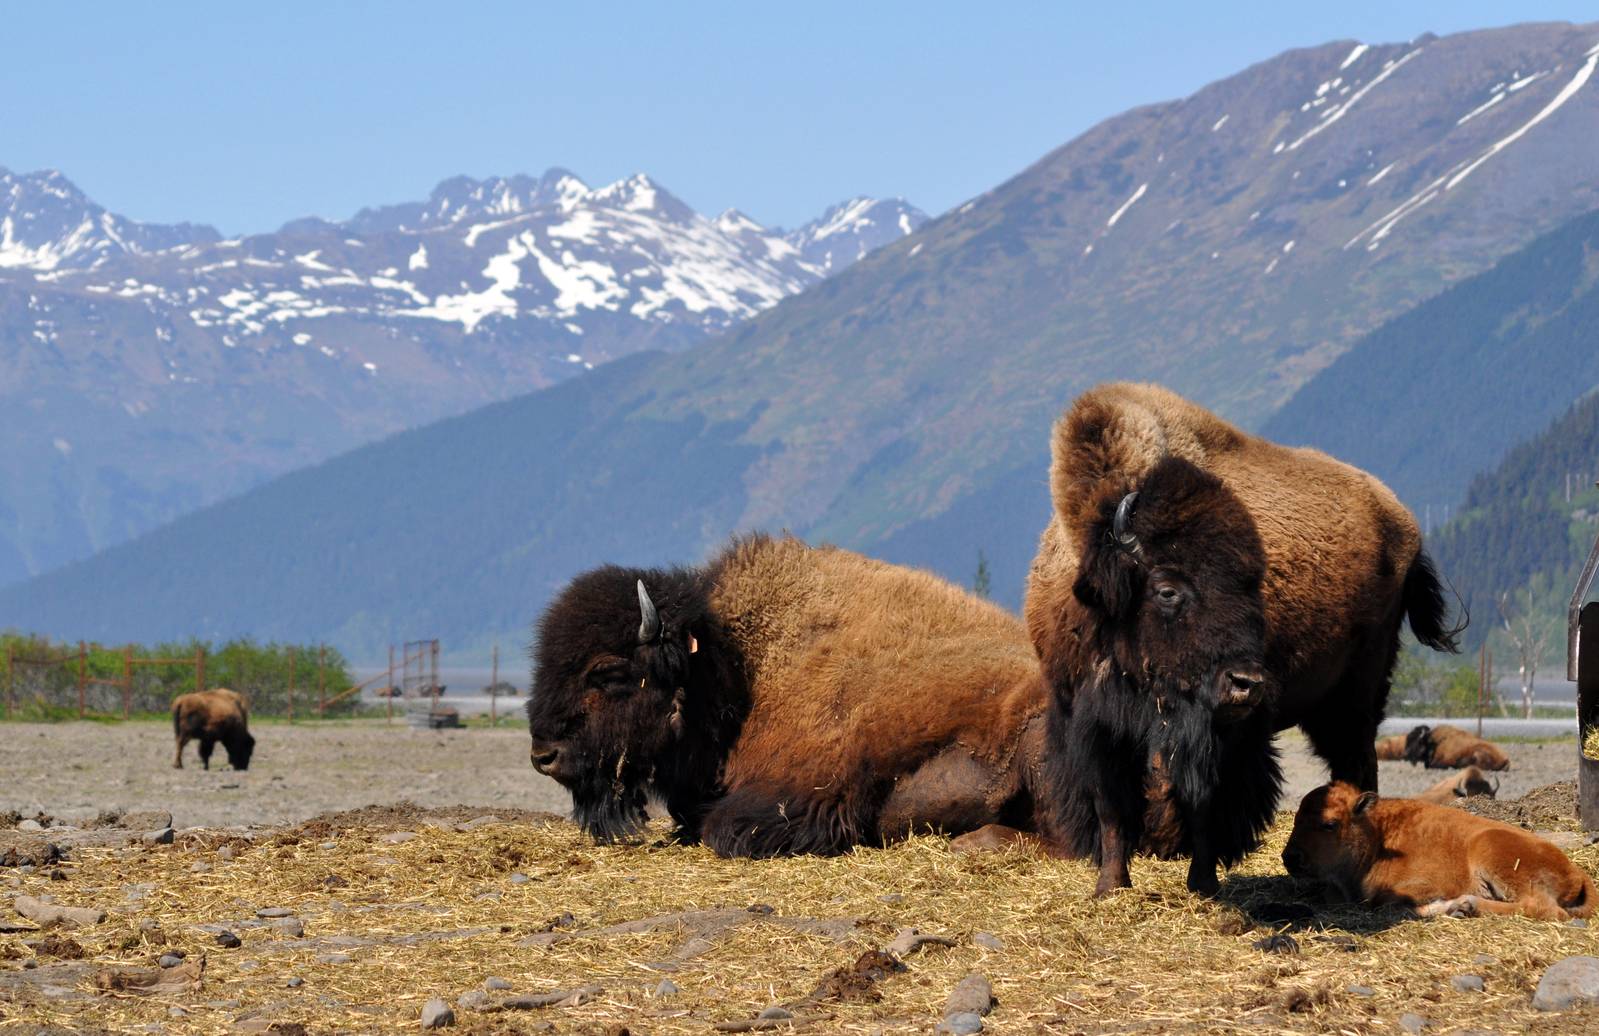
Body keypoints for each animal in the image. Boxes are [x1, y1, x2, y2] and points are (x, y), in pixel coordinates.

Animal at [1026, 383, 1459, 894]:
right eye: (1167, 589)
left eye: (1254, 583)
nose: (1246, 683)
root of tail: (1403, 522)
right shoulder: (1090, 724)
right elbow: (1112, 809)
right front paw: (1111, 886)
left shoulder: (1222, 734)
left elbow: (1206, 806)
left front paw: (1203, 882)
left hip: (1357, 689)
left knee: (1357, 761)